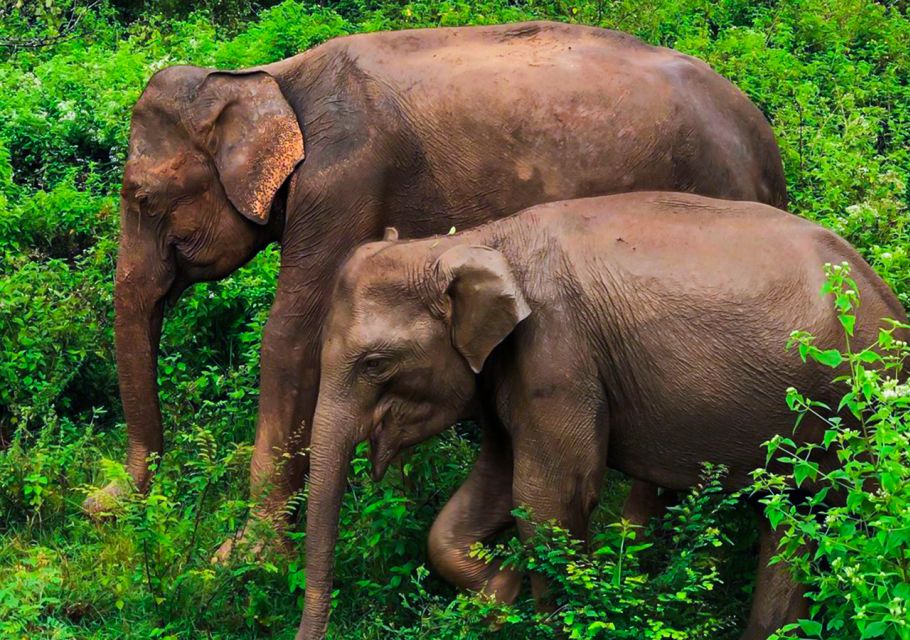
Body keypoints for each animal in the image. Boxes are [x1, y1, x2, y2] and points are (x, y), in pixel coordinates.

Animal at [89, 17, 788, 552]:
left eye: (142, 198)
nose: (104, 502)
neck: (267, 77)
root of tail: (765, 144)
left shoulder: (343, 183)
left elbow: (291, 338)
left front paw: (242, 559)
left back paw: (629, 547)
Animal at [298, 194, 904, 640]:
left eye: (375, 363)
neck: (471, 241)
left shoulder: (556, 350)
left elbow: (549, 497)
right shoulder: (513, 371)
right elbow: (491, 487)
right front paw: (500, 591)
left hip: (862, 409)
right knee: (792, 517)